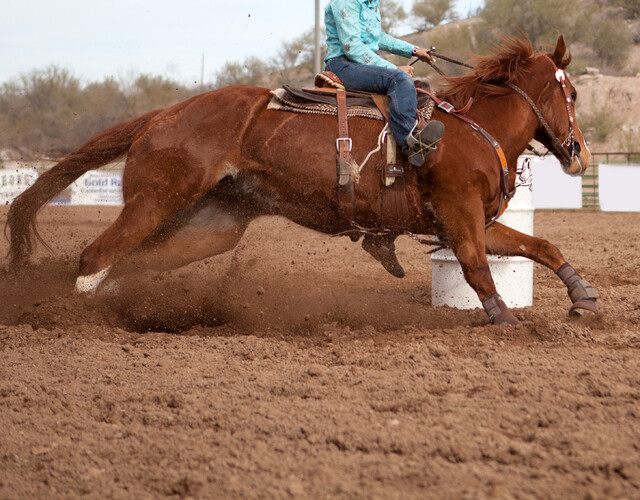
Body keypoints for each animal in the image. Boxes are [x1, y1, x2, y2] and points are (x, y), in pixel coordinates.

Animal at [6, 34, 596, 324]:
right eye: (569, 93)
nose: (580, 155)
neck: (473, 128)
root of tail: (161, 115)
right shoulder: (459, 215)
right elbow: (476, 268)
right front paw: (508, 322)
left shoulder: (473, 220)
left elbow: (541, 246)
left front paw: (582, 297)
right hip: (154, 201)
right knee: (94, 257)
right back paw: (70, 315)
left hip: (211, 224)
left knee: (131, 264)